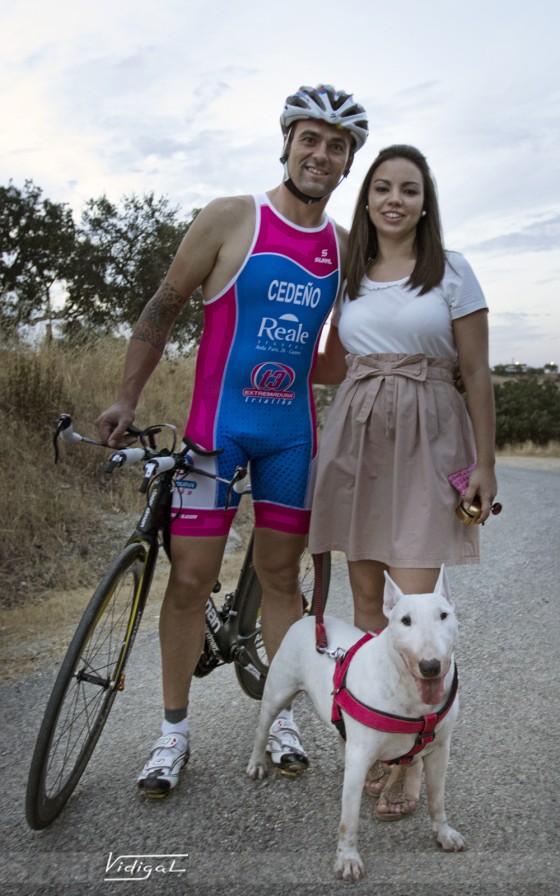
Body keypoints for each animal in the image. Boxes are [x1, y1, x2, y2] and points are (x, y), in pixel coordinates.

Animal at [247, 568, 466, 880]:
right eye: (405, 620)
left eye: (444, 615)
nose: (431, 666)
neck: (410, 695)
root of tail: (309, 620)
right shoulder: (361, 755)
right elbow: (348, 819)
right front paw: (348, 860)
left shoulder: (439, 750)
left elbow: (437, 799)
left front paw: (444, 834)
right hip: (278, 691)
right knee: (263, 726)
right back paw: (256, 764)